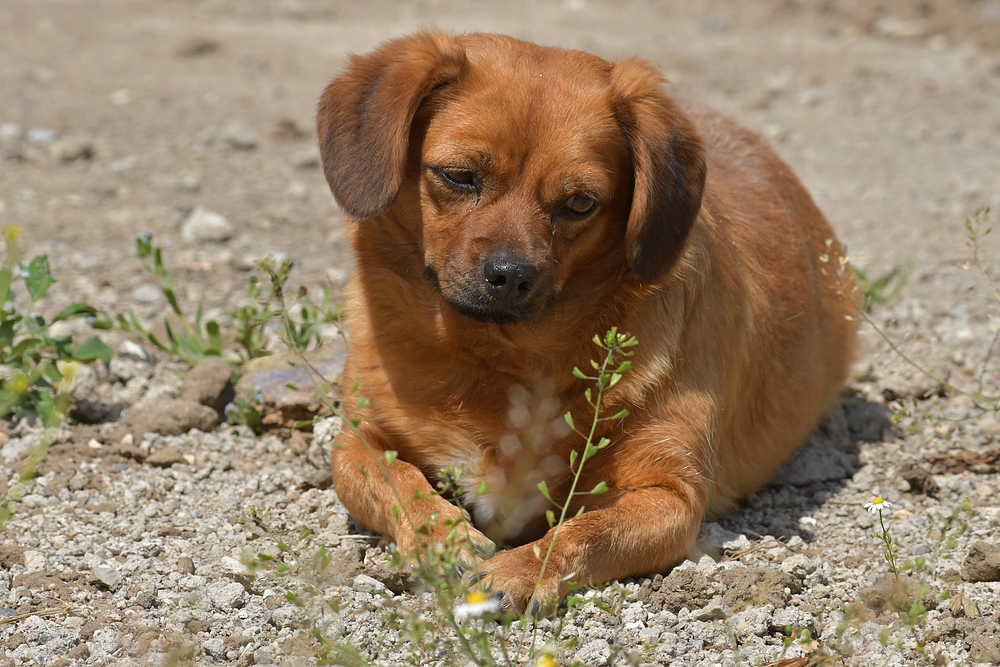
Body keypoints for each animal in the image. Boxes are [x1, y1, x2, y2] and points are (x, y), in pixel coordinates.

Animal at [314, 30, 860, 616]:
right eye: (459, 177)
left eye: (579, 203)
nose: (510, 275)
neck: (503, 358)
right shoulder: (358, 443)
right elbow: (399, 481)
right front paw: (442, 539)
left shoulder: (670, 497)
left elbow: (583, 532)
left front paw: (522, 570)